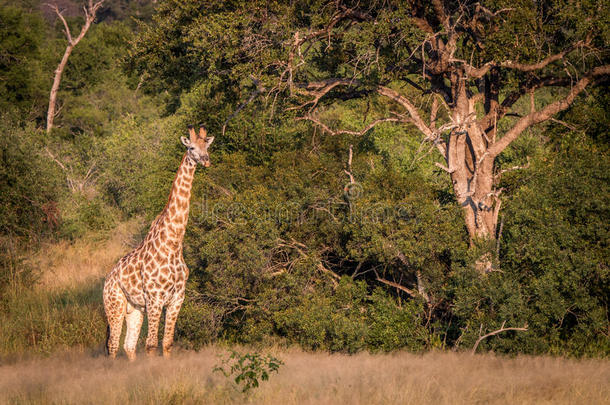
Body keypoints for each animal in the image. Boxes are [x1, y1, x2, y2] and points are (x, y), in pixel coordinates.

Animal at [105, 124, 215, 358]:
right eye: (191, 147)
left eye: (207, 146)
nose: (206, 160)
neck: (173, 243)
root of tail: (107, 279)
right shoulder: (155, 299)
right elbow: (151, 344)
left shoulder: (177, 299)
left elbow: (167, 343)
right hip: (114, 305)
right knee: (113, 345)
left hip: (134, 309)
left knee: (128, 345)